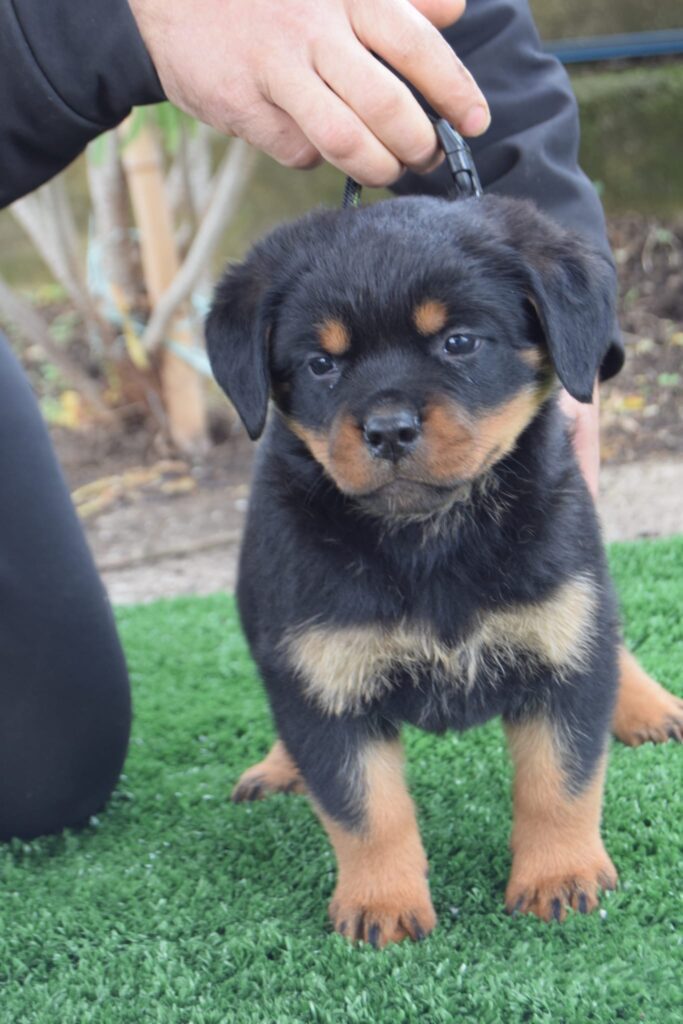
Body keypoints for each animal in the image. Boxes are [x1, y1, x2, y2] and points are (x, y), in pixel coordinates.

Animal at [208, 195, 683, 946]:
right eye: (320, 364)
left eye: (458, 343)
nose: (388, 429)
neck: (430, 540)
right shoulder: (324, 671)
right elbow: (365, 808)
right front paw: (381, 903)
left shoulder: (559, 642)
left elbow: (561, 781)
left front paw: (559, 877)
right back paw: (279, 767)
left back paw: (647, 704)